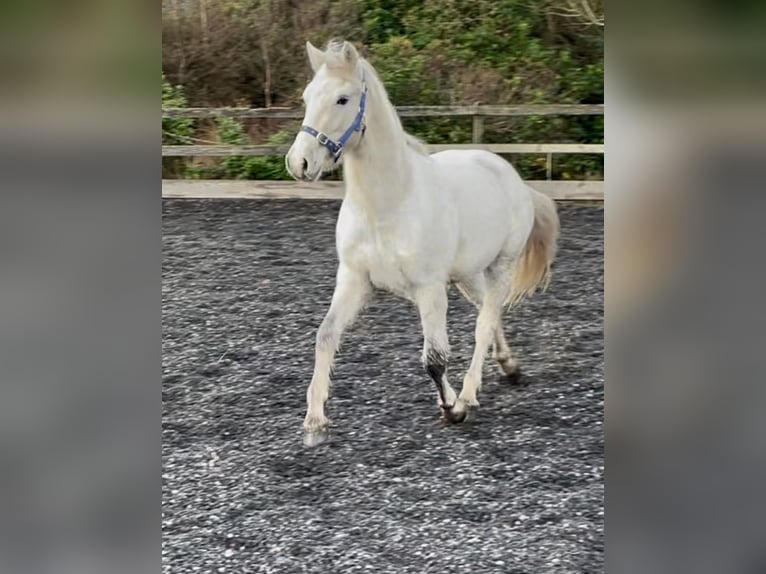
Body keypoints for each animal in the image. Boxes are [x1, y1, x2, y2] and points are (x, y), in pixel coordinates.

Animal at [285, 40, 559, 440]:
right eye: (306, 97)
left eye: (342, 99)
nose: (299, 163)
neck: (386, 207)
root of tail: (513, 178)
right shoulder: (354, 279)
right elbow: (326, 335)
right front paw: (315, 420)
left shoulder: (429, 289)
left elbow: (434, 359)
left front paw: (452, 409)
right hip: (467, 275)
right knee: (489, 313)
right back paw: (510, 367)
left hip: (502, 266)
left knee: (485, 323)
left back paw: (470, 394)